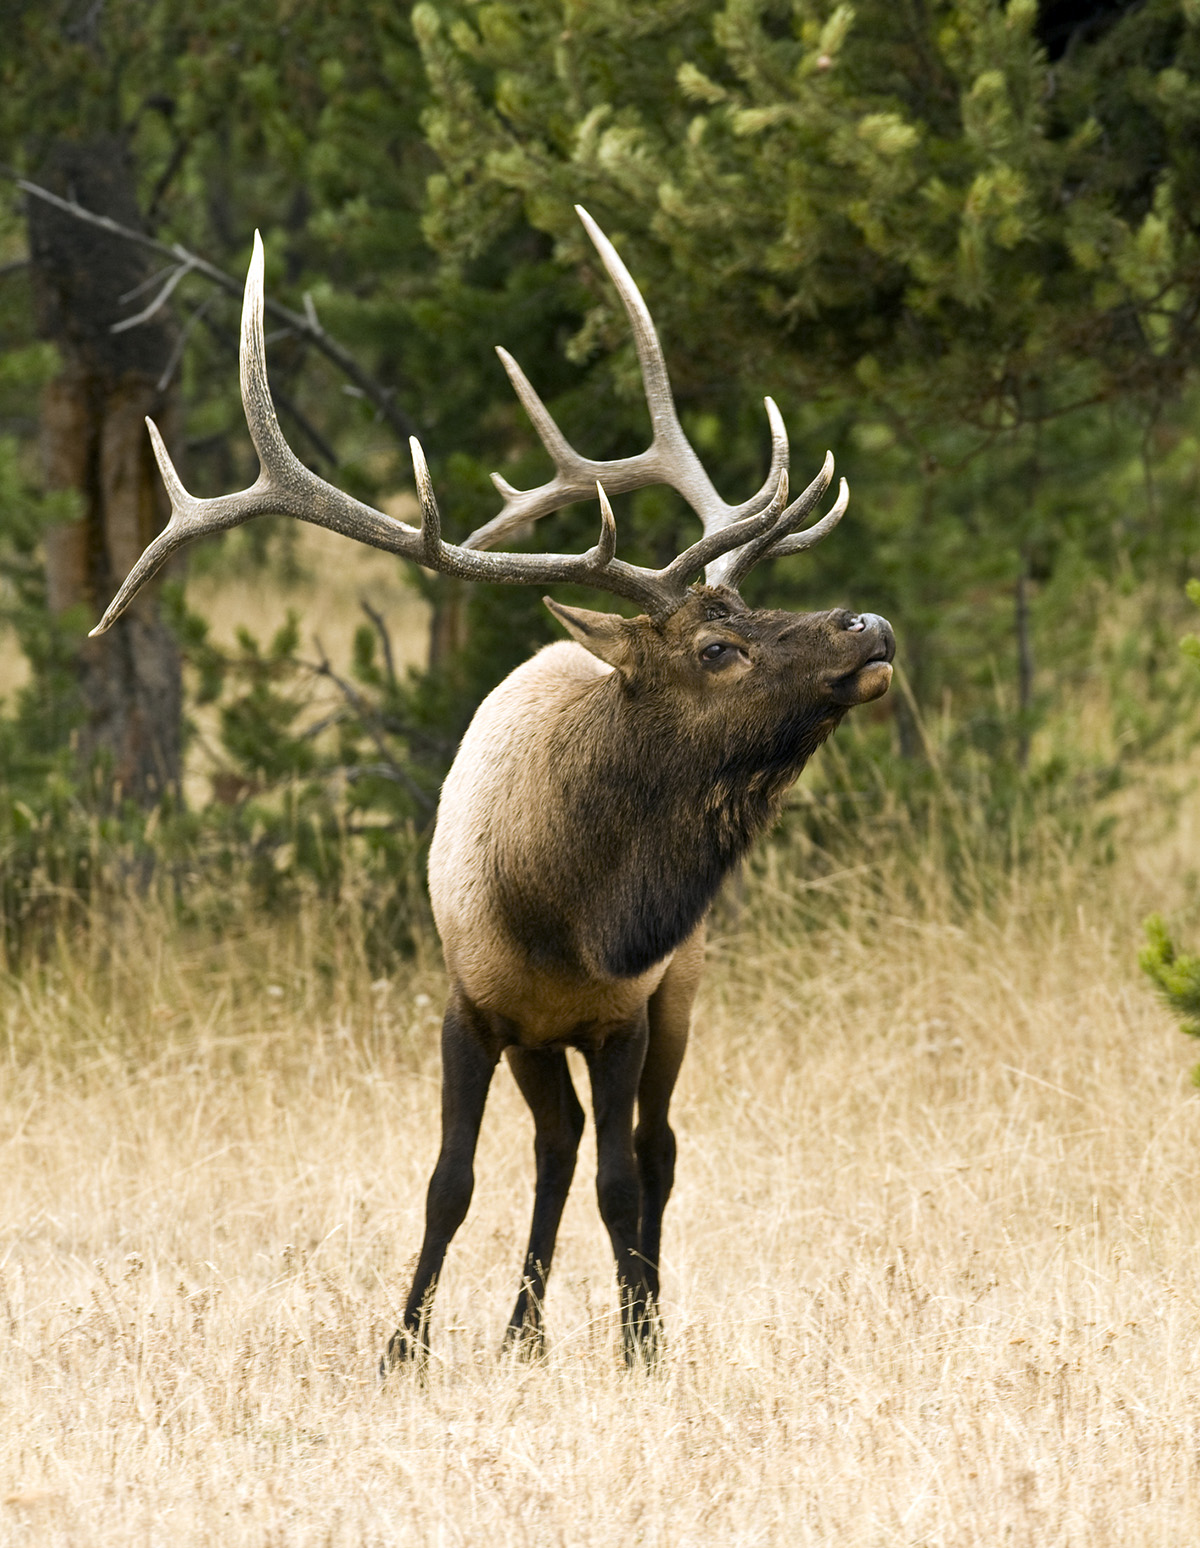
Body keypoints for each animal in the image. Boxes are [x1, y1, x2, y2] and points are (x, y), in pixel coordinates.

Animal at [91, 207, 895, 1369]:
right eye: (717, 647)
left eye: (752, 614)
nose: (868, 625)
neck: (561, 910)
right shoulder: (467, 1004)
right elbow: (450, 1181)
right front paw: (404, 1343)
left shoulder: (624, 1014)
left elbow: (621, 1182)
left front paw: (638, 1343)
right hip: (537, 1040)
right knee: (558, 1144)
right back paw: (521, 1329)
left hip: (683, 992)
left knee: (651, 1149)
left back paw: (625, 1314)